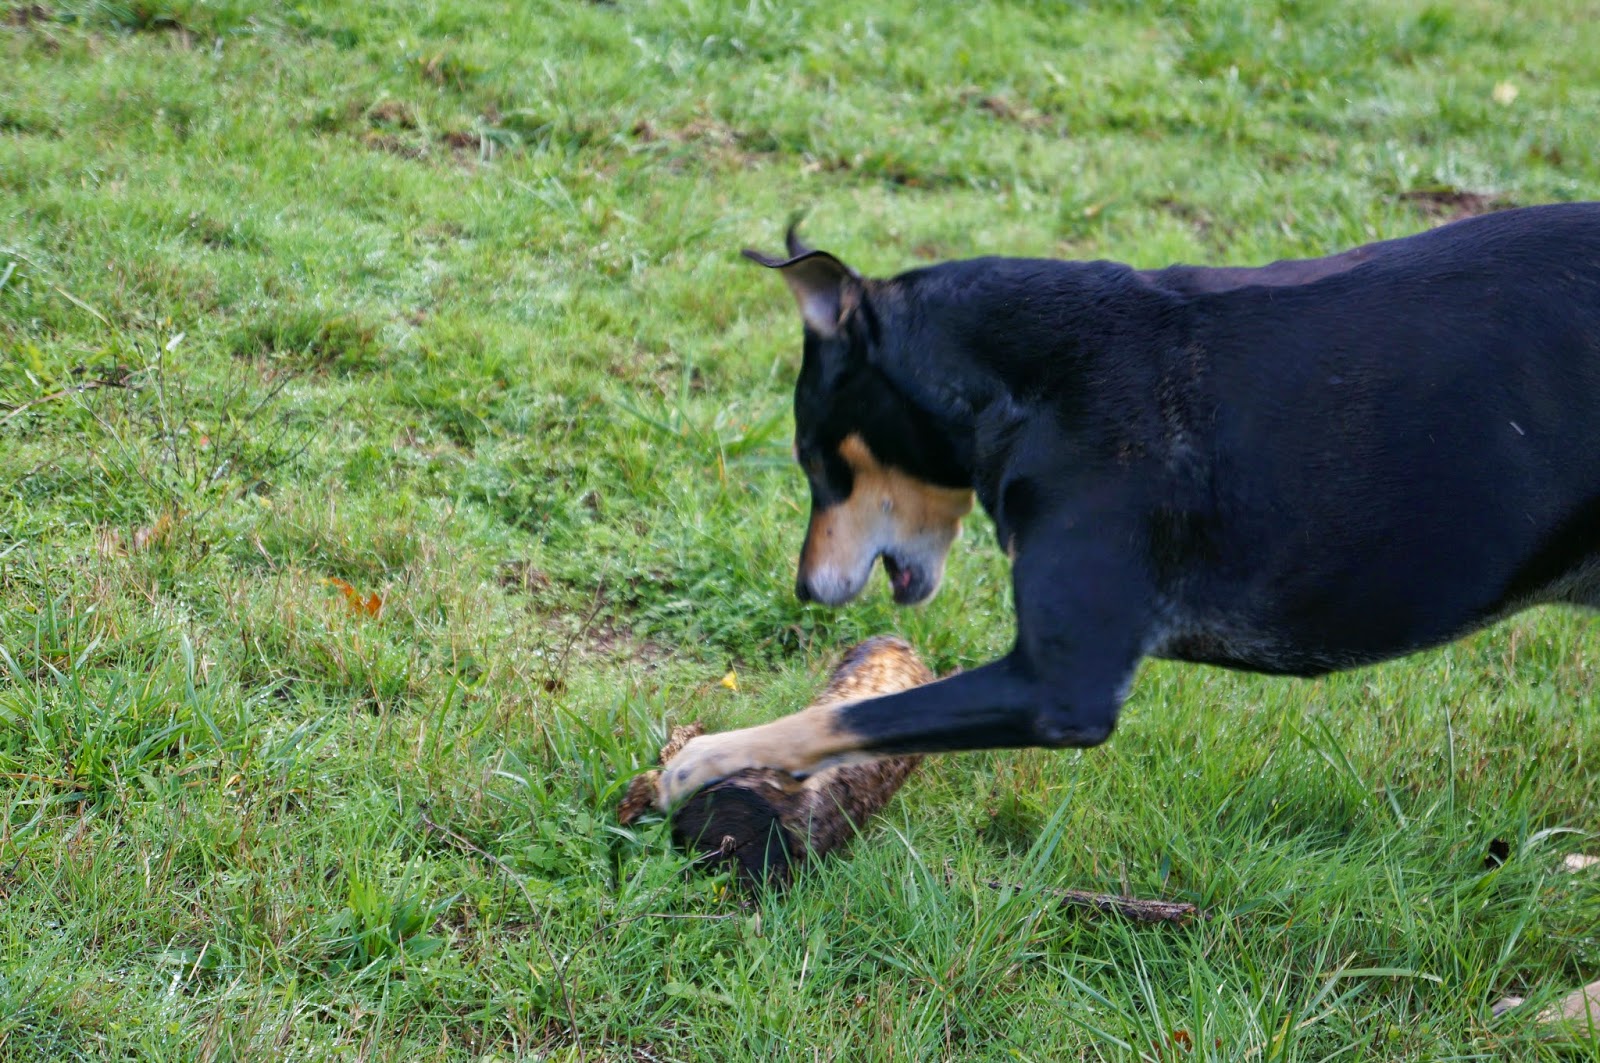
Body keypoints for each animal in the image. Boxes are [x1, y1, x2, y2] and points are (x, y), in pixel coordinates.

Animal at [656, 203, 1600, 810]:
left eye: (815, 456)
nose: (804, 589)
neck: (1033, 385)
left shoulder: (1058, 685)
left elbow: (844, 715)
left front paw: (702, 759)